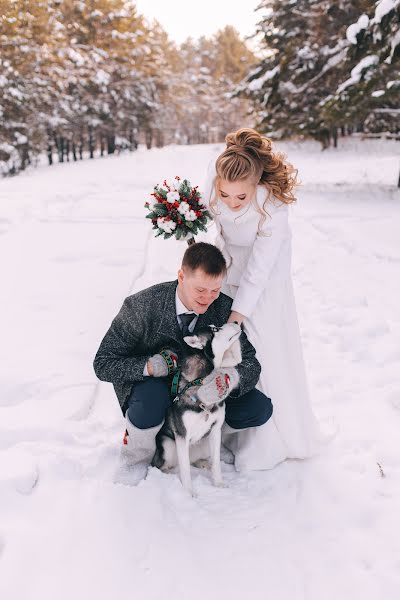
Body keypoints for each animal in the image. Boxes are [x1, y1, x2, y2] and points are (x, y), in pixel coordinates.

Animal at [152, 322, 241, 494]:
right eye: (215, 330)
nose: (235, 322)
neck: (200, 381)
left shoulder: (215, 430)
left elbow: (217, 463)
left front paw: (218, 483)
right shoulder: (181, 435)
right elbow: (185, 470)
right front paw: (188, 493)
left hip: (204, 443)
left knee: (193, 460)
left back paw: (202, 463)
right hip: (168, 445)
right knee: (165, 465)